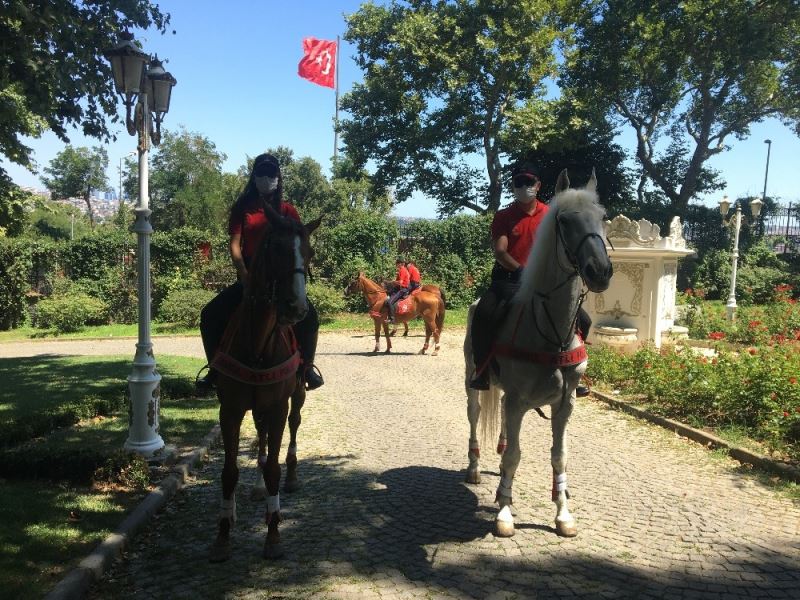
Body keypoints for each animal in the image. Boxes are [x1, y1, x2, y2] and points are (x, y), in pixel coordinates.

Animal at [209, 207, 316, 564]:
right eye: (277, 248)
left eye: (309, 253)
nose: (297, 308)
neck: (257, 345)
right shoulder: (229, 409)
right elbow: (229, 472)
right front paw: (223, 534)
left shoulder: (278, 405)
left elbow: (273, 469)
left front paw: (273, 535)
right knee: (262, 435)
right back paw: (254, 490)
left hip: (296, 393)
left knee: (293, 426)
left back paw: (292, 476)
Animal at [462, 169, 612, 540]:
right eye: (564, 221)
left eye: (602, 218)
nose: (600, 271)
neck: (550, 333)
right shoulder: (518, 401)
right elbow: (515, 457)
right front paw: (504, 513)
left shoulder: (565, 404)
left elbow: (559, 456)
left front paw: (563, 514)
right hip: (472, 380)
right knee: (475, 416)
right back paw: (474, 466)